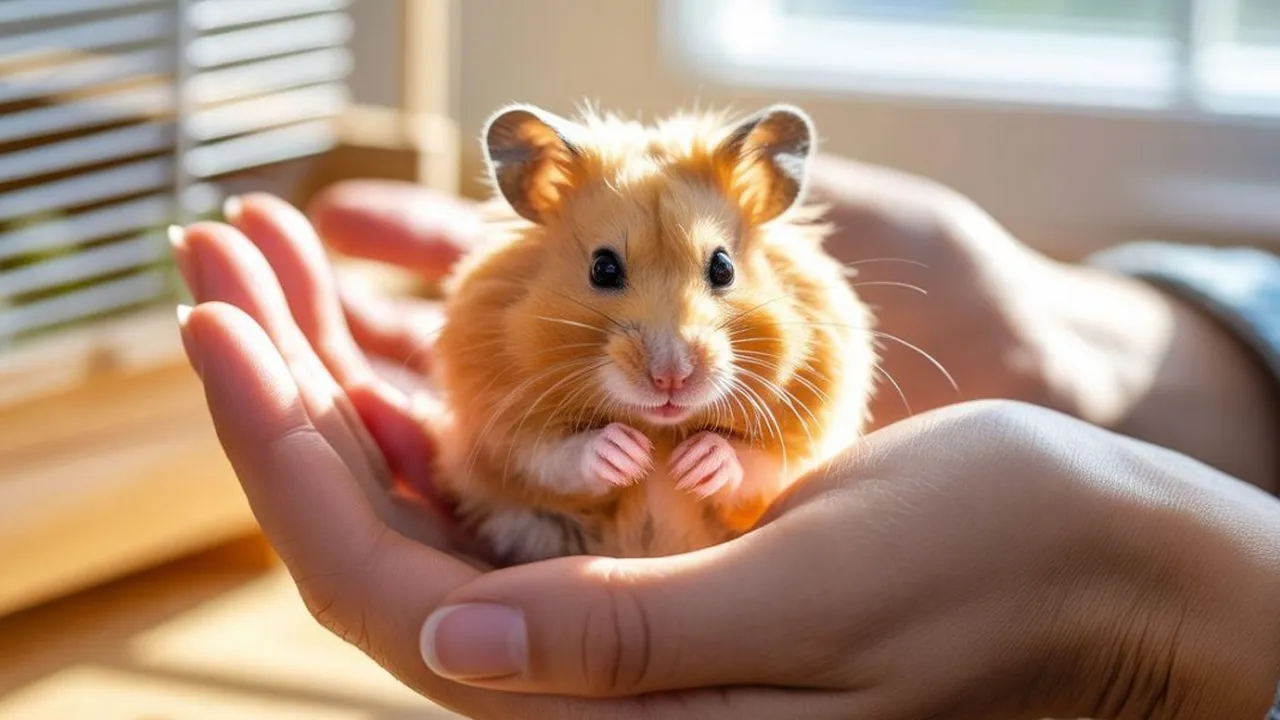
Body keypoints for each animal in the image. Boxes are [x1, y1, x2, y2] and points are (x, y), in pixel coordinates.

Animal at [430, 103, 876, 565]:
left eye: (723, 267)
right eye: (603, 268)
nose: (671, 378)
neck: (661, 428)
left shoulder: (807, 427)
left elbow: (758, 463)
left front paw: (697, 460)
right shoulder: (502, 428)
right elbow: (554, 456)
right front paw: (627, 452)